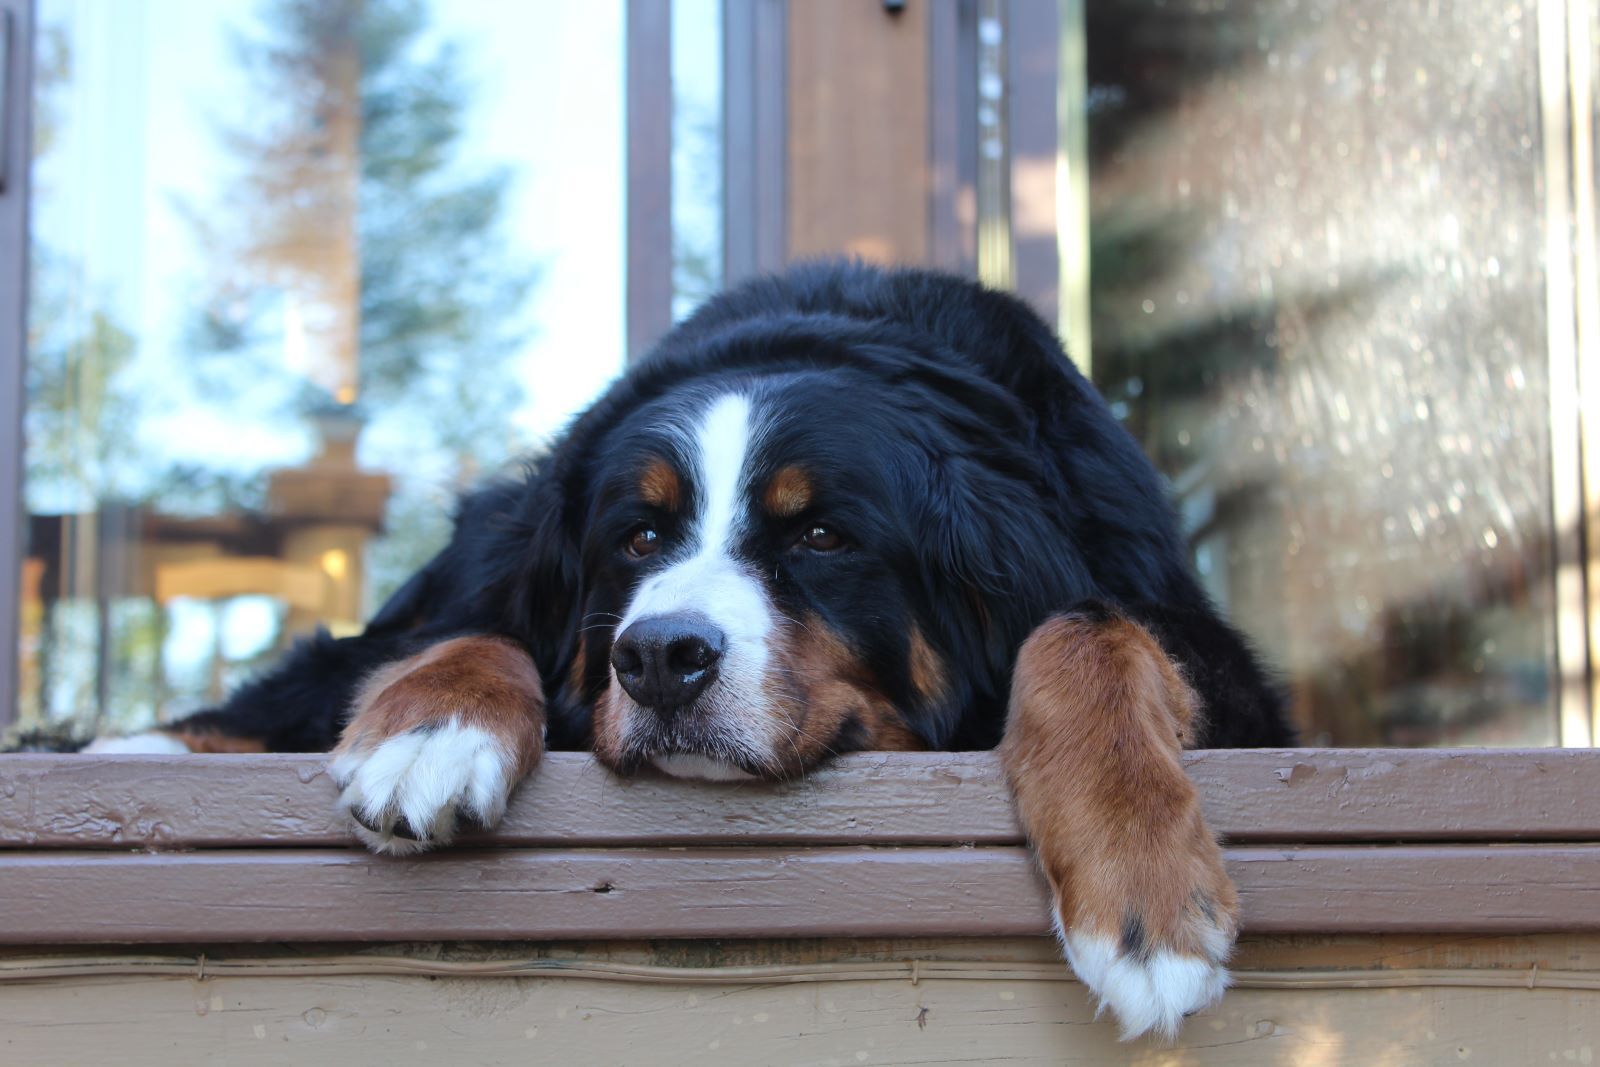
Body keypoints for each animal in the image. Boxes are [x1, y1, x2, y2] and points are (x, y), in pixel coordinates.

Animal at [87, 262, 1292, 1036]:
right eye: (638, 536)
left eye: (821, 535)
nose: (661, 655)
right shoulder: (513, 557)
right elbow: (485, 624)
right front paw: (432, 731)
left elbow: (1090, 630)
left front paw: (1143, 901)